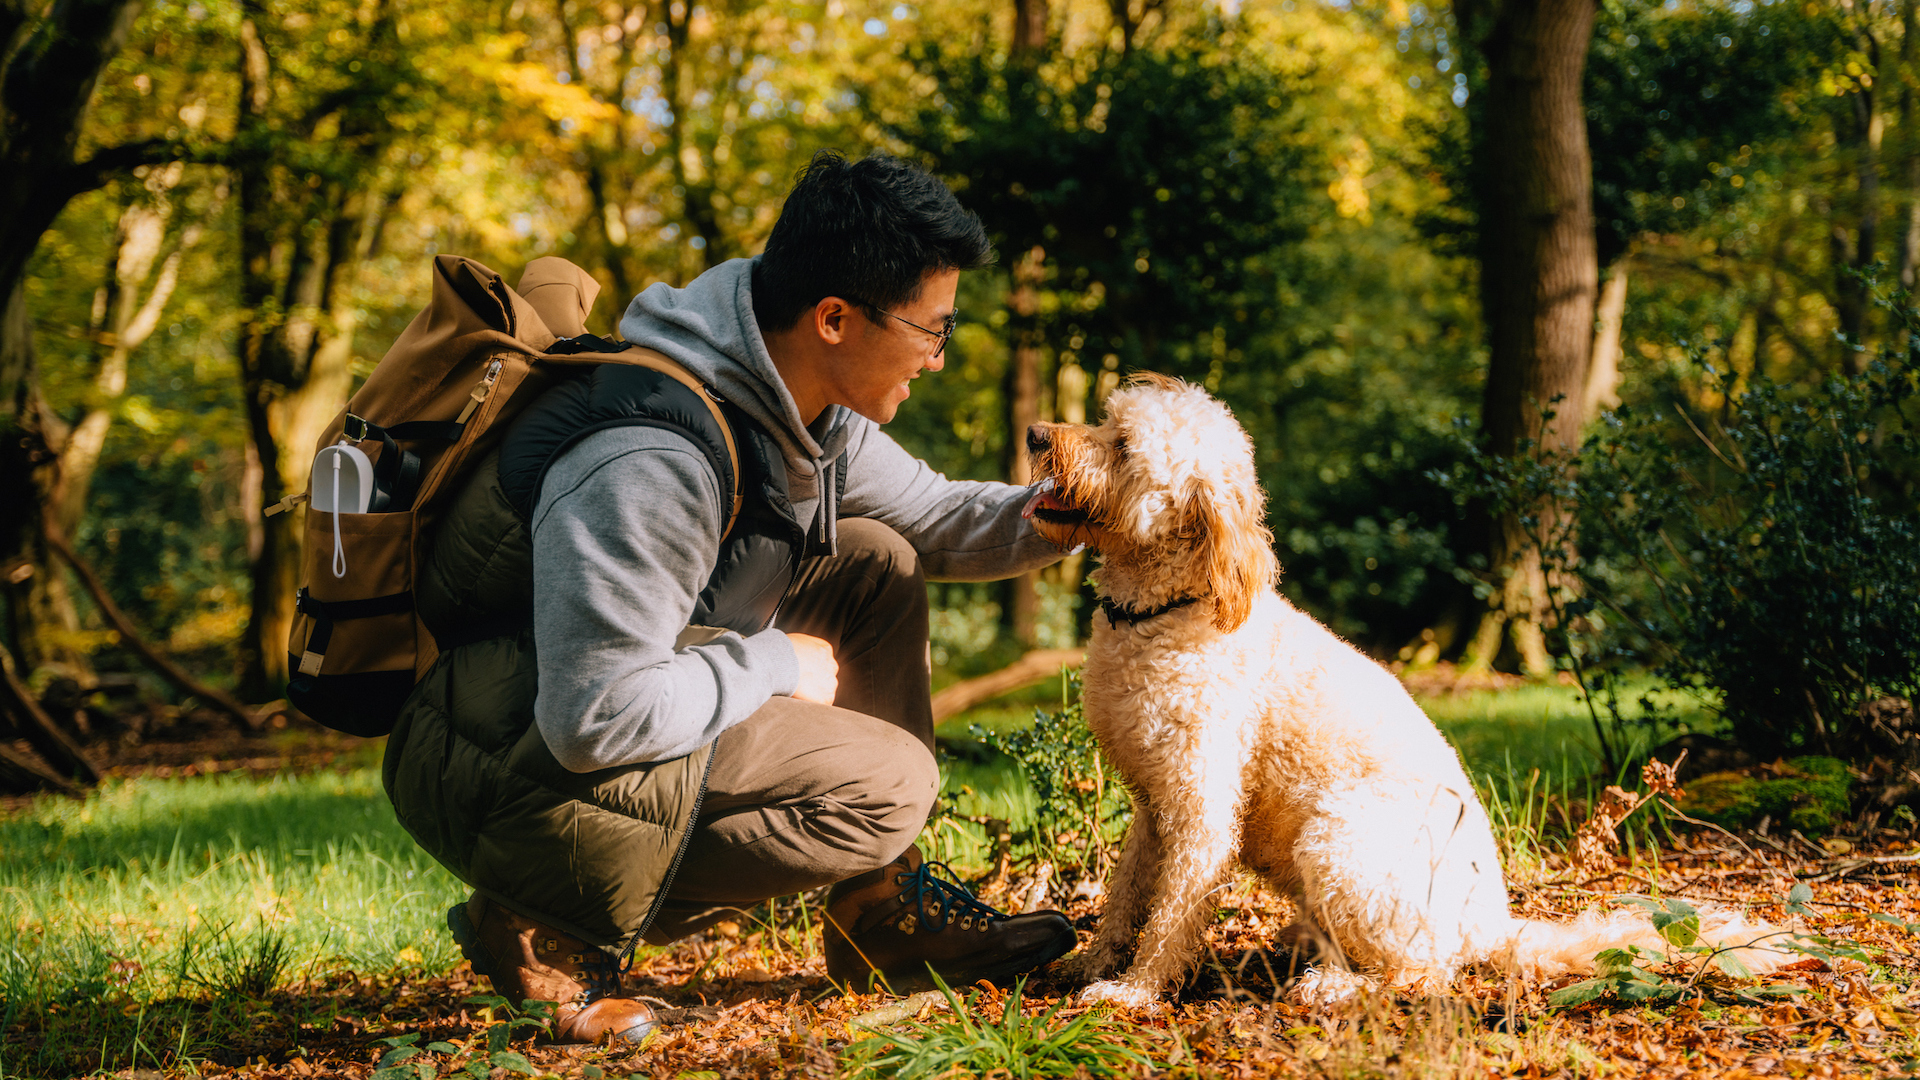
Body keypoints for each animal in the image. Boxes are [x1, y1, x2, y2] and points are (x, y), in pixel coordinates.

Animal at [1021, 374, 1781, 1006]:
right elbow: (1125, 895)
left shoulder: (1202, 808)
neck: (1165, 611)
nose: (1034, 434)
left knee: (1423, 972)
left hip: (1339, 836)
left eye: (1123, 446)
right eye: (1107, 419)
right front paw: (1092, 963)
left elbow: (1172, 913)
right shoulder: (1153, 805)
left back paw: (1332, 986)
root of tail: (1493, 926)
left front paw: (1136, 991)